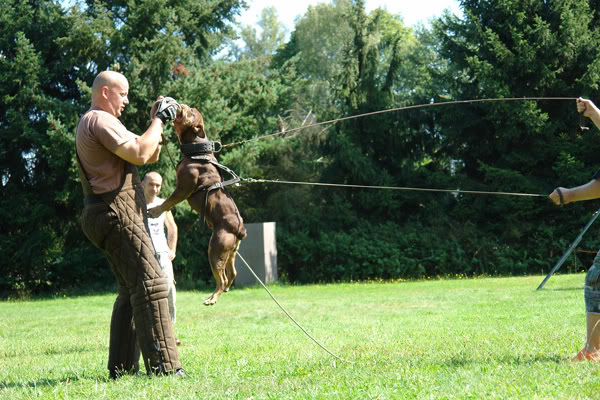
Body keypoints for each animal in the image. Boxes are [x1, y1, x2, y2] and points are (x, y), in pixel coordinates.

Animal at [149, 103, 247, 306]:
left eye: (189, 112)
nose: (181, 104)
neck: (196, 149)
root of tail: (240, 229)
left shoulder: (183, 188)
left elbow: (168, 202)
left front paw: (155, 210)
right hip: (231, 251)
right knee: (232, 273)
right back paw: (222, 291)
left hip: (216, 248)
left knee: (222, 278)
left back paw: (212, 299)